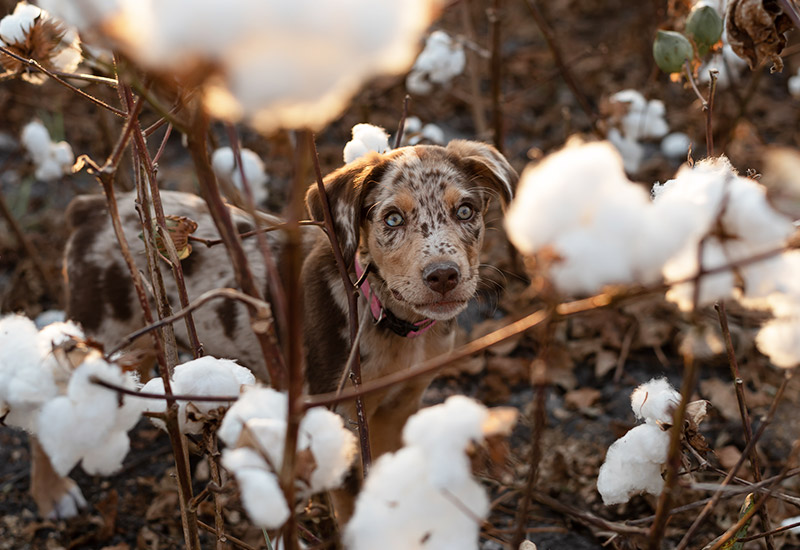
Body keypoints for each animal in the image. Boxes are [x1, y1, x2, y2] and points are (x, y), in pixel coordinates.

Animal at [45, 142, 520, 520]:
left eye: (465, 211)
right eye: (392, 219)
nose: (444, 275)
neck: (393, 324)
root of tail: (90, 209)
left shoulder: (401, 403)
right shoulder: (339, 417)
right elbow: (349, 498)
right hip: (100, 338)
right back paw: (57, 492)